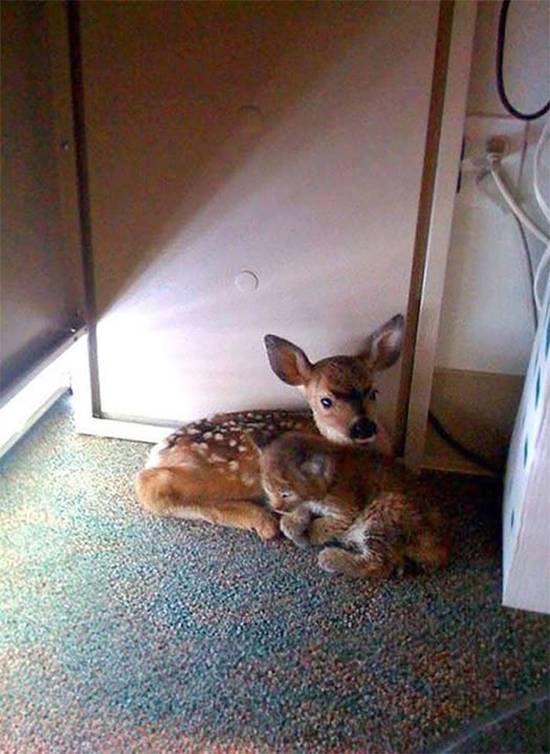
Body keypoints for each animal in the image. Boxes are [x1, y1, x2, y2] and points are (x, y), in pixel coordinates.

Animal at [135, 314, 405, 540]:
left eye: (374, 392)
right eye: (325, 401)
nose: (364, 427)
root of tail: (159, 451)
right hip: (218, 470)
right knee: (151, 486)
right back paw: (261, 521)